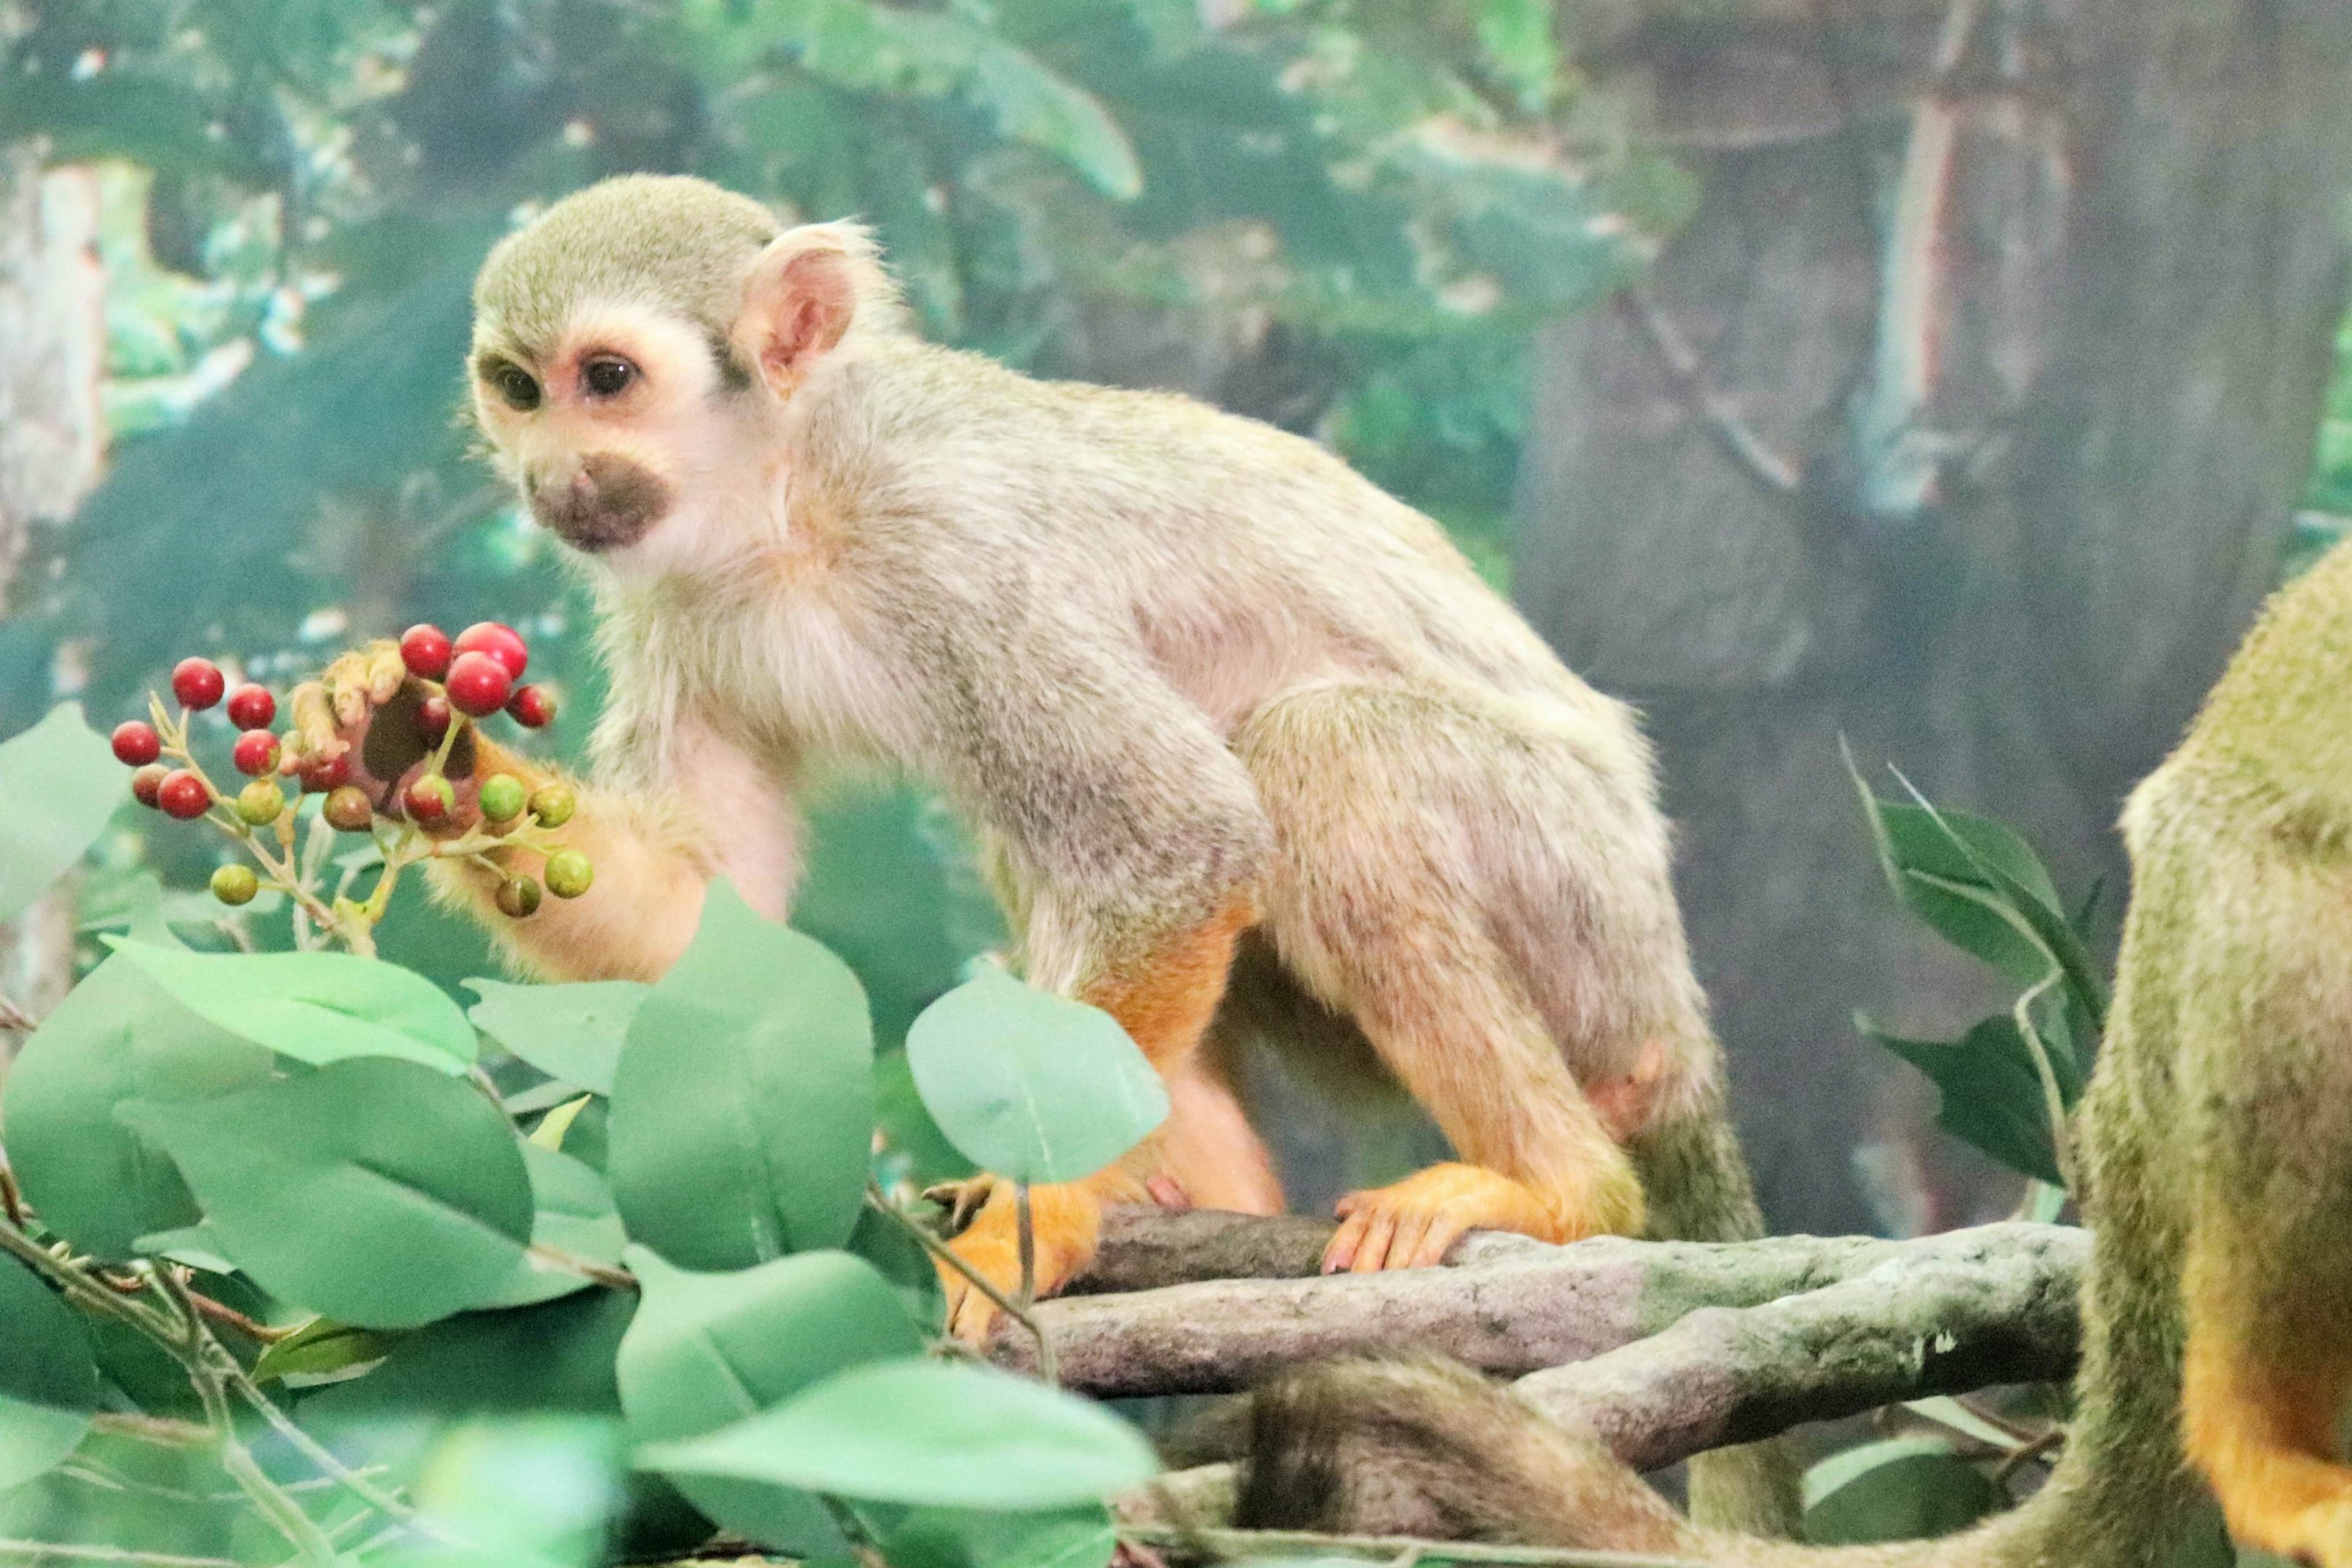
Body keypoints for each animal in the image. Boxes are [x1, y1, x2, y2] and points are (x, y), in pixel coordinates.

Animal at [283, 174, 1793, 1524]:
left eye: (607, 377)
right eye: (518, 388)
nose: (549, 479)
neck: (795, 492)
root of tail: (1675, 1010)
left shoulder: (958, 552)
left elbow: (1181, 835)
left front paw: (1041, 1214)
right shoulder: (676, 599)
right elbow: (705, 914)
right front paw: (414, 748)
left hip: (1581, 896)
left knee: (1322, 758)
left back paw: (1556, 1186)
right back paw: (1209, 1185)